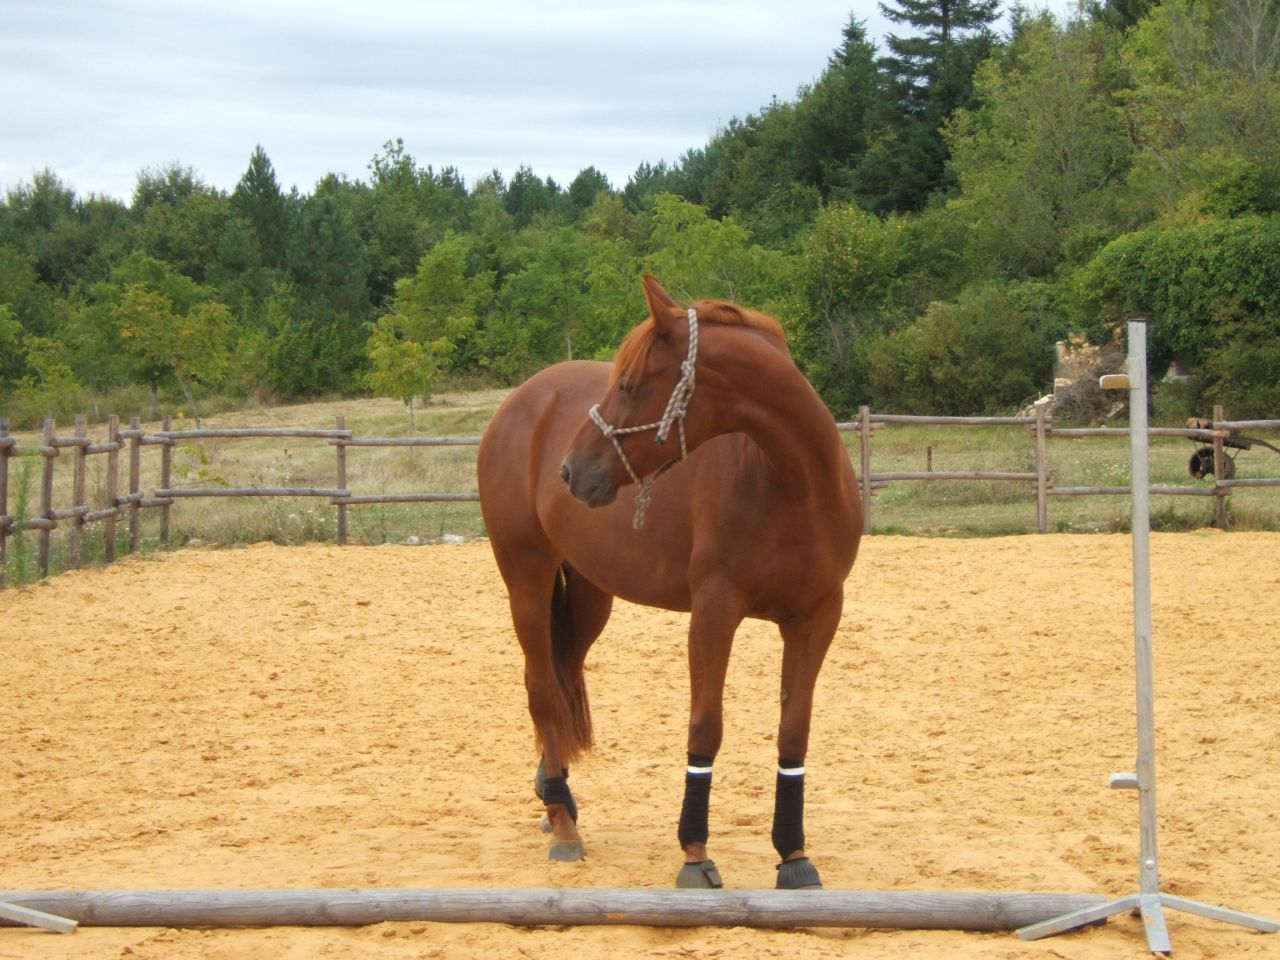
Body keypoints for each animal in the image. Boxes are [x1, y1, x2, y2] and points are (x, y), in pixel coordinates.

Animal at [477, 274, 862, 889]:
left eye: (632, 385)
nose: (570, 472)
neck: (793, 484)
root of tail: (521, 403)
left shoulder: (818, 617)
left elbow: (793, 730)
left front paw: (793, 855)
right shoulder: (714, 612)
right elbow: (705, 726)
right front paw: (695, 854)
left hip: (590, 596)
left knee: (563, 679)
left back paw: (553, 795)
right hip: (526, 581)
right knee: (541, 689)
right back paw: (563, 822)